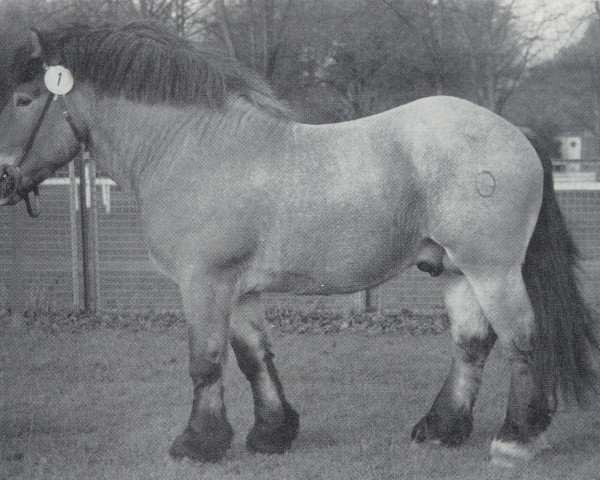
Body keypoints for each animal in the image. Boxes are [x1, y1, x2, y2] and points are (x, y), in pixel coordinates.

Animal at [0, 20, 596, 466]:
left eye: (25, 99)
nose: (4, 181)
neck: (191, 147)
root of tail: (516, 133)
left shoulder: (204, 283)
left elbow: (205, 361)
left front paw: (197, 443)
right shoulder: (238, 289)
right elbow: (253, 357)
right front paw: (271, 434)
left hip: (492, 269)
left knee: (522, 339)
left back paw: (516, 437)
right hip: (452, 269)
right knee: (472, 342)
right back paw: (441, 428)